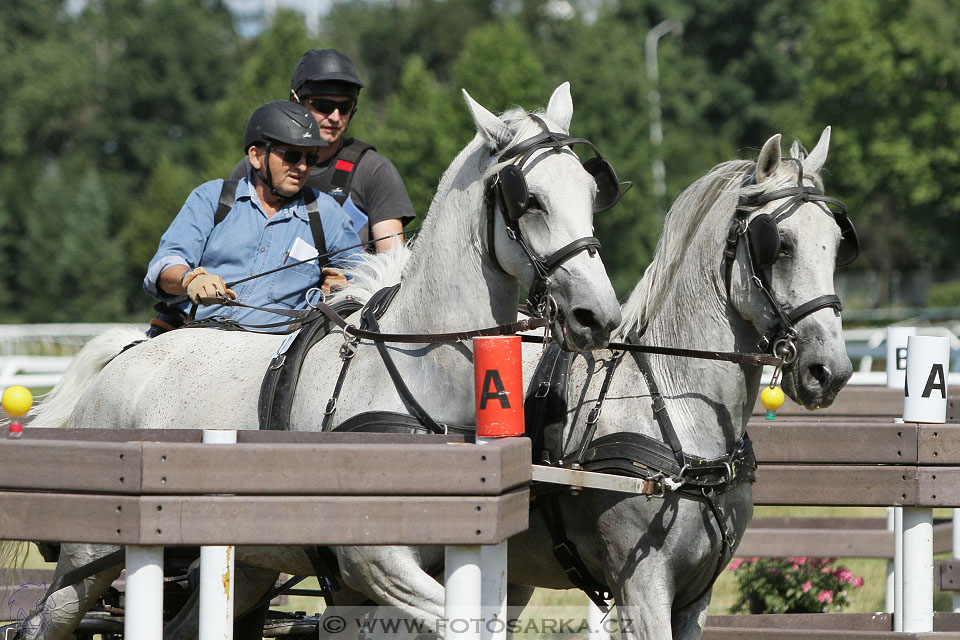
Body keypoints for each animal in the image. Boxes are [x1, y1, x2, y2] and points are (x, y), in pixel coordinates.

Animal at [3, 82, 624, 636]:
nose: (598, 316)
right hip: (90, 556)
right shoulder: (373, 562)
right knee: (46, 620)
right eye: (529, 200)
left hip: (246, 564)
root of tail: (128, 357)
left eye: (589, 192)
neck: (419, 373)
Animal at [324, 127, 856, 636]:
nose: (829, 370)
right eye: (778, 246)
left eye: (835, 243)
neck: (673, 405)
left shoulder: (695, 597)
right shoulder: (642, 588)